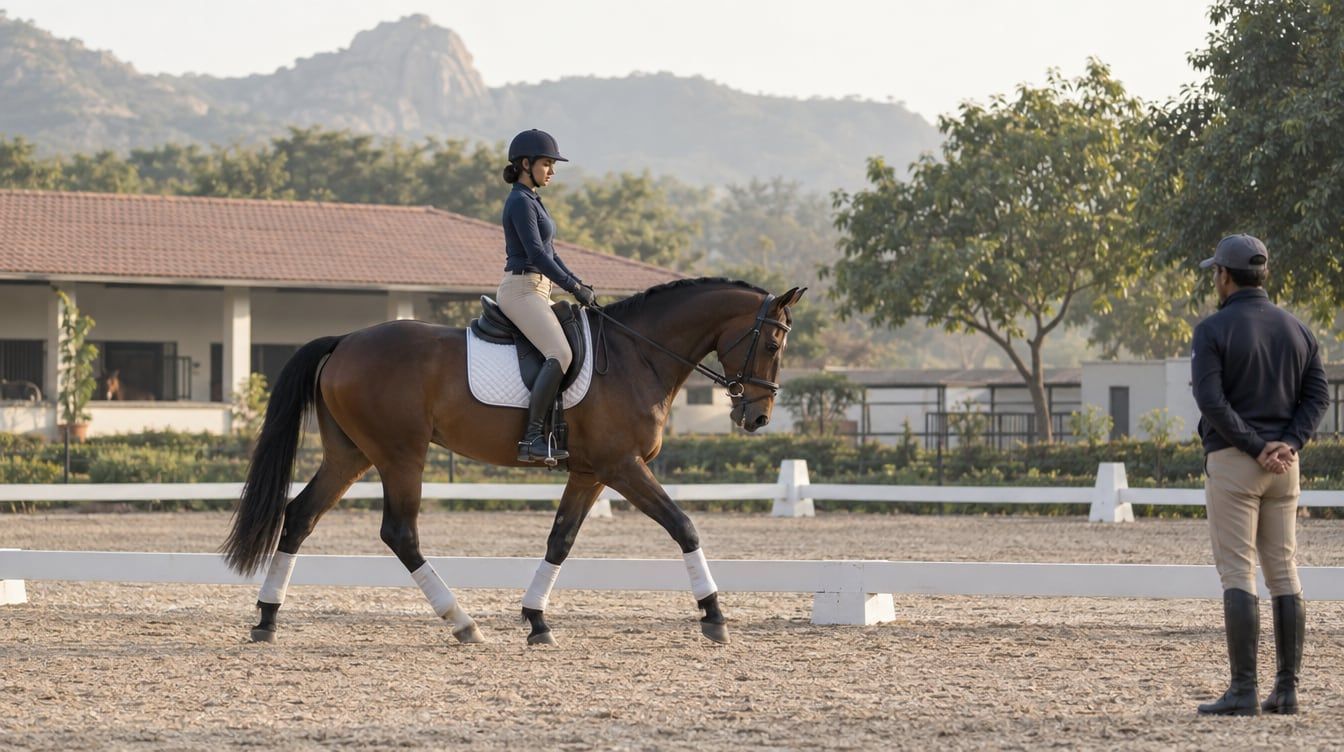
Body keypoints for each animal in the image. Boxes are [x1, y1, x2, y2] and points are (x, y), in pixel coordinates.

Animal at [222, 278, 805, 646]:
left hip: (351, 455)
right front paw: (715, 616)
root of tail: (345, 341)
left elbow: (560, 540)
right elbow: (683, 526)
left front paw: (537, 621)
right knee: (399, 533)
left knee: (300, 516)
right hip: (400, 455)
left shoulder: (591, 473)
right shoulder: (623, 466)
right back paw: (462, 624)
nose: (757, 417)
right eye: (774, 343)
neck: (638, 355)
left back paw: (267, 620)